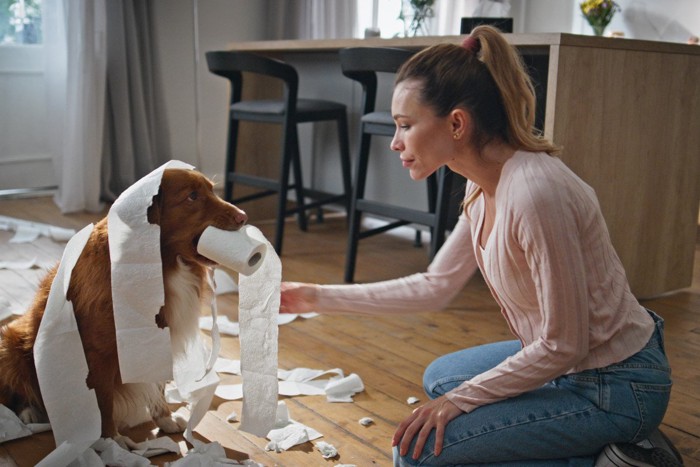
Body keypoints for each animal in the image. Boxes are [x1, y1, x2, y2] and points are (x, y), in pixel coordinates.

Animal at [0, 168, 249, 442]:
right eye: (192, 196)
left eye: (212, 191)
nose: (243, 217)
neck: (164, 266)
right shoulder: (98, 354)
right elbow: (104, 400)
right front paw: (111, 439)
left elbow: (158, 385)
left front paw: (165, 419)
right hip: (11, 344)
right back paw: (27, 414)